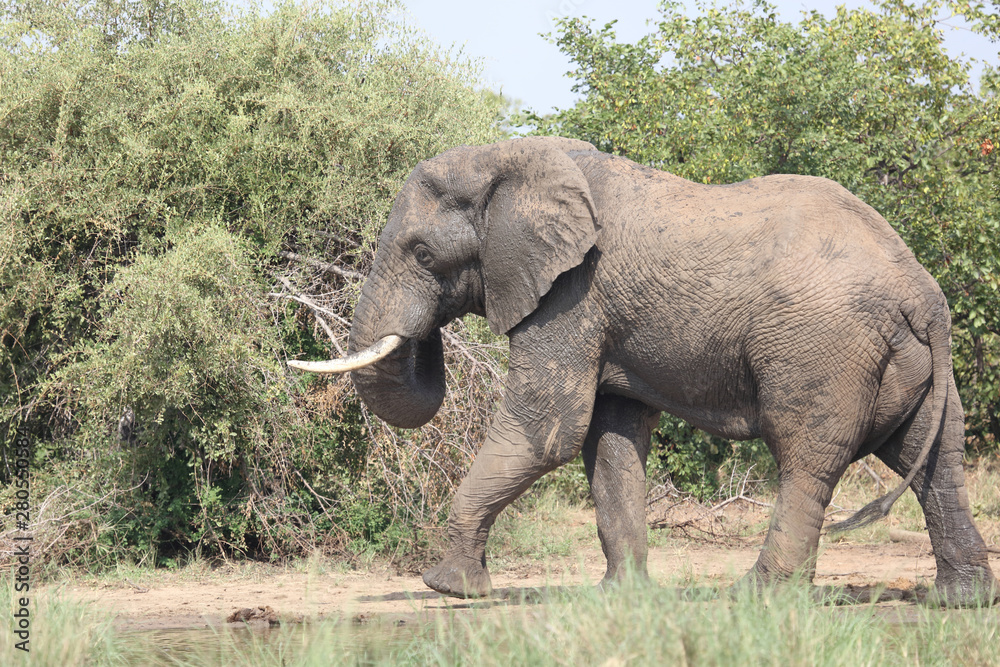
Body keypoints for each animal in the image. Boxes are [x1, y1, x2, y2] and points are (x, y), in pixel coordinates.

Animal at [290, 136, 1000, 604]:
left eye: (422, 253)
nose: (427, 335)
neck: (508, 158)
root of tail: (922, 293)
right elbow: (610, 438)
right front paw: (621, 596)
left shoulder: (573, 294)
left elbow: (548, 431)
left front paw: (449, 589)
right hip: (912, 365)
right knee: (932, 455)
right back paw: (960, 602)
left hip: (822, 348)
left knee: (806, 456)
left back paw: (756, 597)